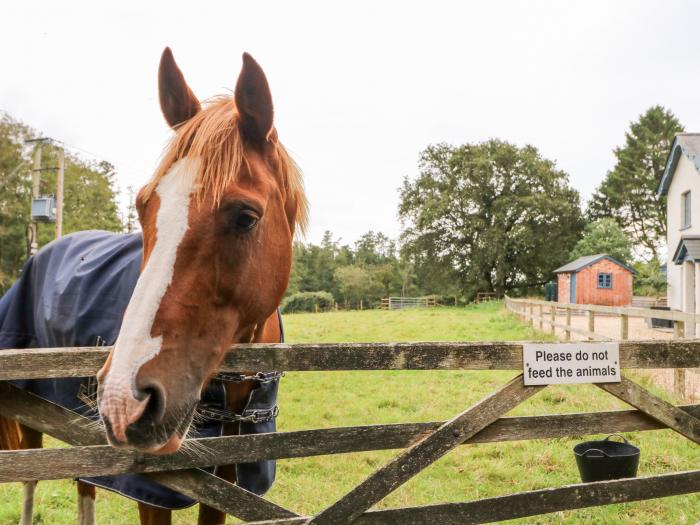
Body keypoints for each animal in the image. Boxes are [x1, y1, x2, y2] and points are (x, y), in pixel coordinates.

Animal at [0, 46, 306, 524]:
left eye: (246, 216)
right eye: (144, 206)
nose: (124, 400)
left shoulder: (226, 483)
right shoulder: (153, 487)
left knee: (83, 484)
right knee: (30, 481)